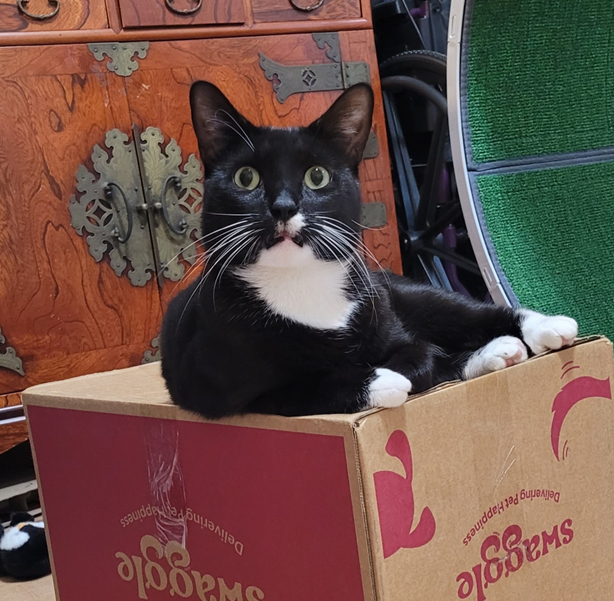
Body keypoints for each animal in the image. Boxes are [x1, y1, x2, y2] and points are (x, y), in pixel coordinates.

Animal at [160, 81, 578, 418]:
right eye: (246, 178)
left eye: (317, 176)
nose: (282, 207)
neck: (299, 283)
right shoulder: (215, 383)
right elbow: (302, 387)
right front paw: (382, 381)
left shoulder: (386, 316)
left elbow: (420, 354)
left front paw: (399, 369)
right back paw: (499, 352)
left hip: (400, 291)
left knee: (464, 314)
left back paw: (542, 327)